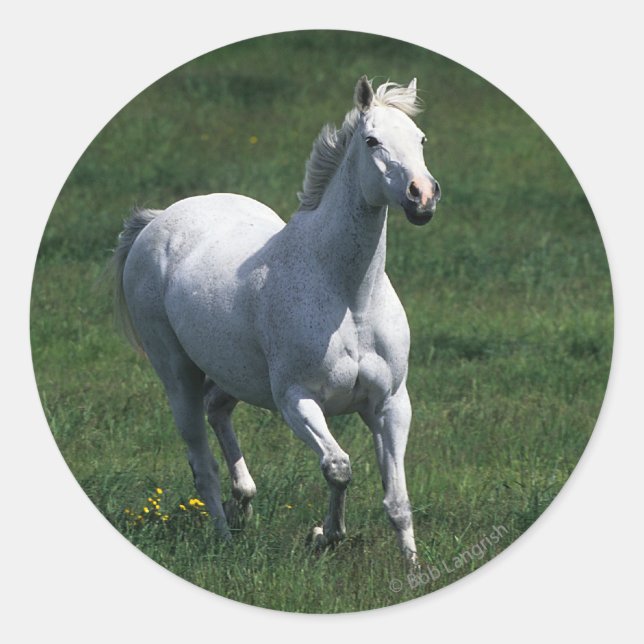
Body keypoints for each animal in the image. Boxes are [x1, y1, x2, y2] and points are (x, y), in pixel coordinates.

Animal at [111, 76, 440, 563]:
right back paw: (225, 538)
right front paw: (325, 534)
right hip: (176, 374)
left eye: (420, 139)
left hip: (233, 374)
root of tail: (157, 220)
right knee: (201, 462)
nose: (422, 196)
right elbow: (338, 467)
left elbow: (397, 500)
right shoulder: (296, 399)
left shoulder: (391, 404)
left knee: (217, 411)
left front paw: (412, 567)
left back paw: (244, 504)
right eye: (372, 140)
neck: (348, 297)